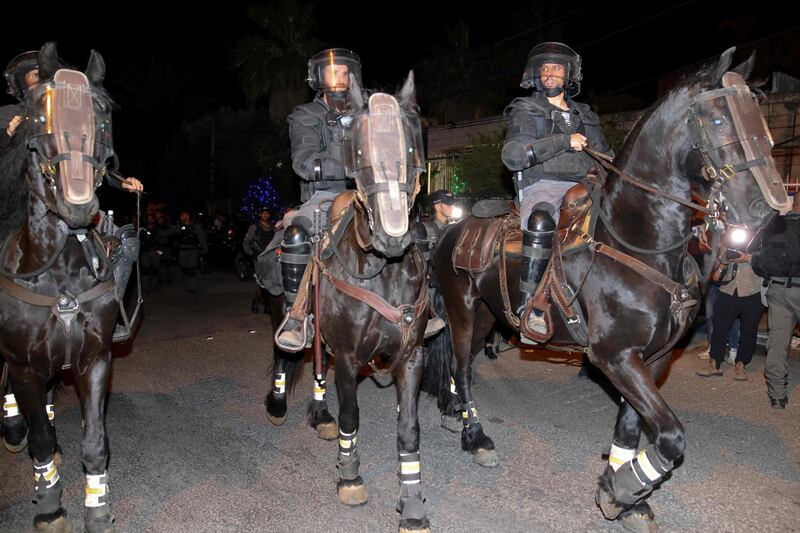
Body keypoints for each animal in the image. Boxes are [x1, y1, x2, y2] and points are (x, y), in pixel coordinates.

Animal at [0, 43, 122, 528]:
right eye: (39, 114)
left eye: (103, 113)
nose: (79, 207)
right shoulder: (22, 363)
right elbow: (38, 439)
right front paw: (50, 505)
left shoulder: (95, 358)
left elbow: (95, 443)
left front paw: (98, 508)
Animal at [266, 72, 432, 528]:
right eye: (359, 150)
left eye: (411, 146)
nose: (392, 237)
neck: (384, 271)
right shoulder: (347, 355)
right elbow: (351, 416)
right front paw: (350, 477)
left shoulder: (411, 356)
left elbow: (409, 429)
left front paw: (412, 504)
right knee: (286, 352)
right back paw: (278, 401)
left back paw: (319, 412)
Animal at [422, 47, 784, 528]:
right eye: (718, 119)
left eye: (757, 116)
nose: (766, 207)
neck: (639, 242)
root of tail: (450, 230)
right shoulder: (614, 356)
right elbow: (672, 435)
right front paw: (628, 487)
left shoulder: (651, 358)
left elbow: (631, 427)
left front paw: (622, 491)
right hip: (462, 310)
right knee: (461, 368)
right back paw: (476, 437)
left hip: (485, 315)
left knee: (455, 366)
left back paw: (452, 413)